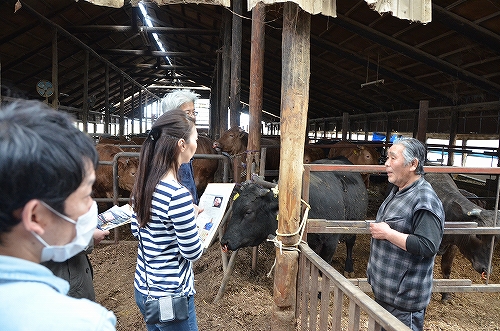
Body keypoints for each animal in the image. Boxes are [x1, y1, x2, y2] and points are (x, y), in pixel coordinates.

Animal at [221, 158, 370, 278]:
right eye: (234, 208)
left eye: (248, 212)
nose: (224, 242)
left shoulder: (330, 242)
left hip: (353, 225)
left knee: (350, 244)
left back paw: (349, 269)